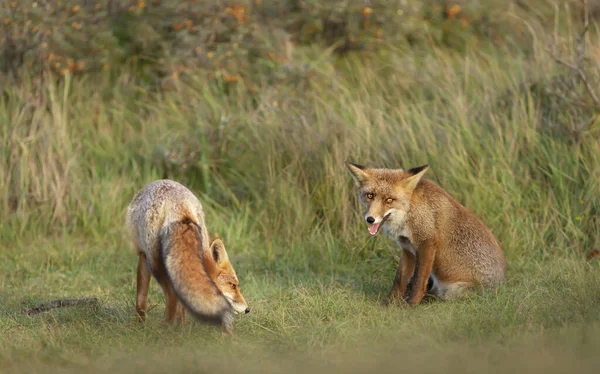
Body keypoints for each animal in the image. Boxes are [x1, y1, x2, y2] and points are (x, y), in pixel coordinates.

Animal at [125, 180, 250, 334]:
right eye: (233, 286)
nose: (248, 309)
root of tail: (181, 206)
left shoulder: (144, 255)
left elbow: (141, 299)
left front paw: (139, 327)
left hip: (155, 262)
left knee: (172, 296)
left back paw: (167, 330)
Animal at [342, 162, 506, 306]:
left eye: (389, 200)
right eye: (369, 196)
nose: (370, 219)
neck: (409, 212)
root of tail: (501, 286)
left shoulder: (427, 242)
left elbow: (419, 279)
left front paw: (411, 304)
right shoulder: (407, 247)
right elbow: (400, 279)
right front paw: (390, 302)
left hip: (455, 290)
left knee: (441, 296)